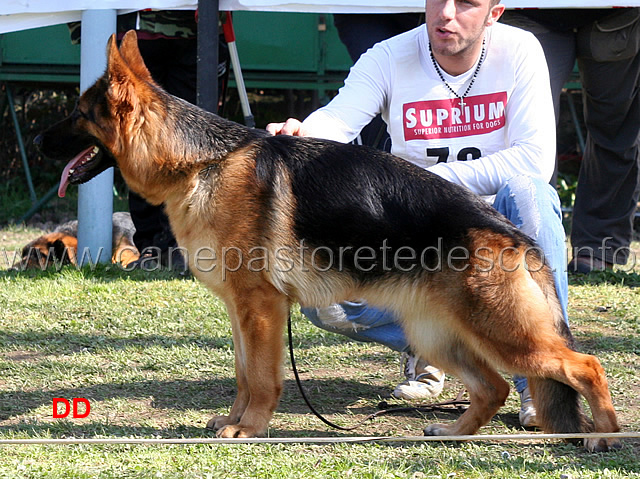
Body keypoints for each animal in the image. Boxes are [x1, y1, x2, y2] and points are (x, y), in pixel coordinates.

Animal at [36, 31, 620, 452]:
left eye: (78, 116)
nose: (39, 139)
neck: (199, 162)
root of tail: (516, 236)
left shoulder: (262, 308)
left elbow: (263, 378)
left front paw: (250, 430)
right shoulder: (241, 310)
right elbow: (243, 374)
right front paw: (233, 422)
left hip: (504, 334)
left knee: (584, 365)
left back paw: (604, 435)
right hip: (436, 334)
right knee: (494, 387)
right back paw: (453, 433)